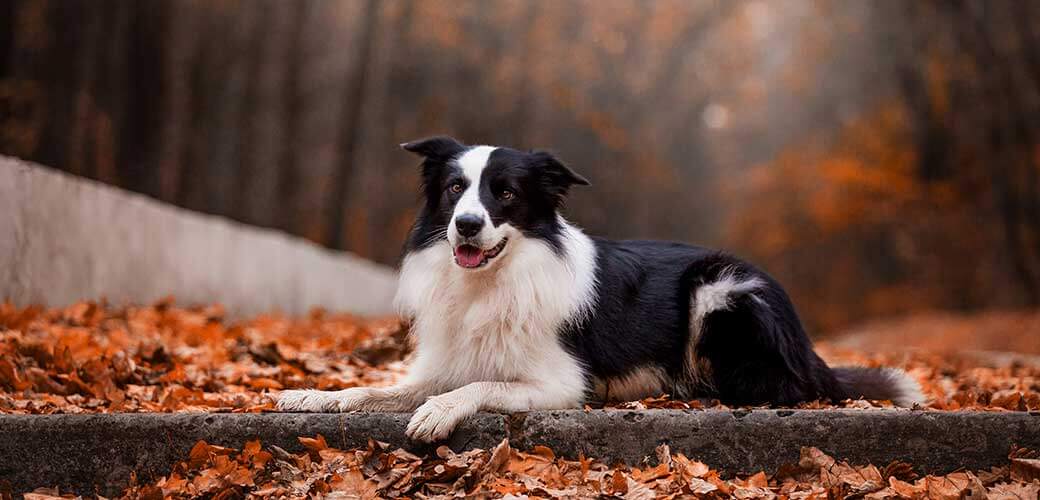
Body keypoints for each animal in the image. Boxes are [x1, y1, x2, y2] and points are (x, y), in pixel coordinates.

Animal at [272, 135, 923, 440]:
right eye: (455, 189)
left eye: (505, 193)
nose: (467, 224)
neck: (495, 279)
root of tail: (809, 347)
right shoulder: (446, 360)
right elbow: (374, 388)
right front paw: (312, 396)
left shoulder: (559, 384)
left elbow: (480, 386)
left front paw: (437, 413)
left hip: (720, 288)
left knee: (776, 386)